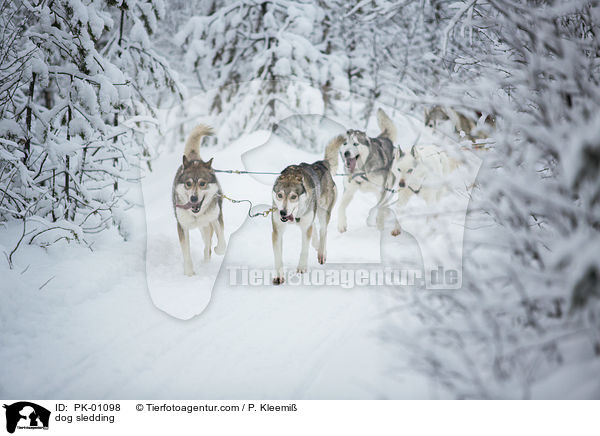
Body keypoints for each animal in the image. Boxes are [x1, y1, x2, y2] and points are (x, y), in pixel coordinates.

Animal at [172, 125, 226, 276]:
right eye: (188, 183)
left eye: (202, 183)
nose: (194, 198)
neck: (196, 214)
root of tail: (195, 159)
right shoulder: (182, 226)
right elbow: (186, 253)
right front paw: (189, 273)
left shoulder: (215, 218)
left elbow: (222, 244)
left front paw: (217, 249)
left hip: (206, 226)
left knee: (208, 244)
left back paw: (207, 260)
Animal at [270, 137, 344, 286]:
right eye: (280, 195)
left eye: (293, 196)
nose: (282, 213)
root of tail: (321, 164)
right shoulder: (277, 230)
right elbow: (278, 256)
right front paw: (279, 276)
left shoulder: (305, 228)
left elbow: (304, 249)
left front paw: (302, 268)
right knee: (314, 230)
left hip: (323, 212)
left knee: (323, 232)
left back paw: (321, 252)